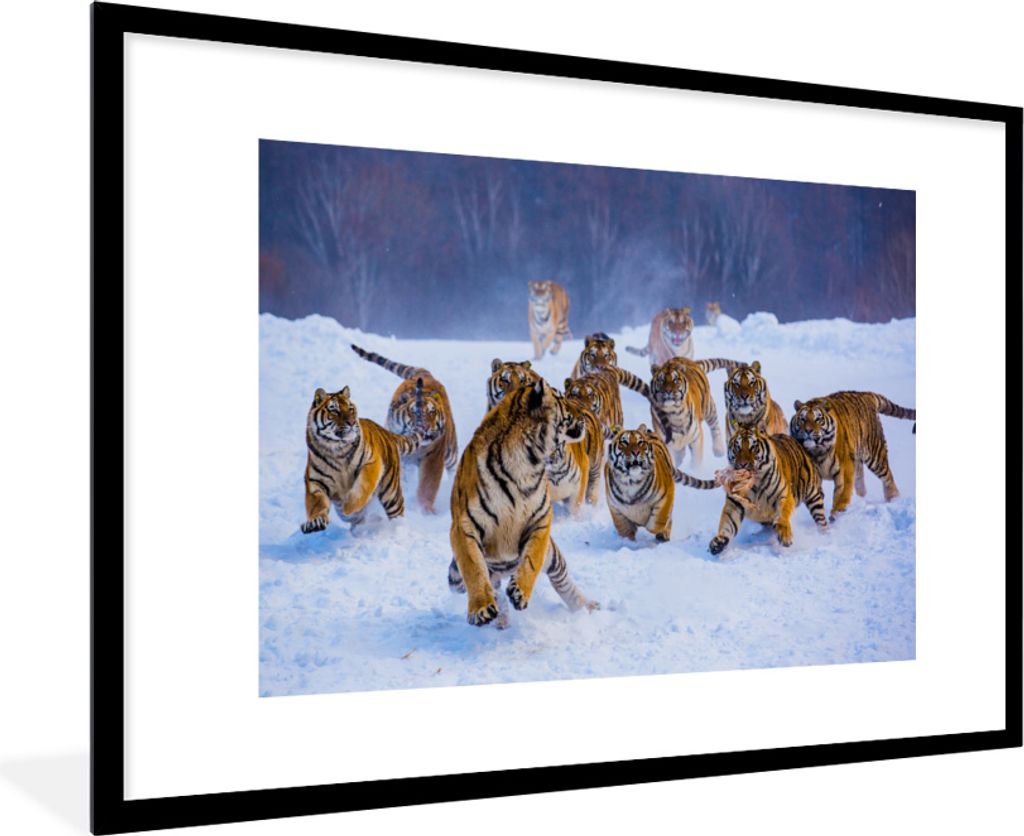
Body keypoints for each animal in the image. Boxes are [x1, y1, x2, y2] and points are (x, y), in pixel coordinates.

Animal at [302, 385, 423, 532]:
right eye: (335, 410)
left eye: (350, 409)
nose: (352, 422)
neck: (336, 448)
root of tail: (385, 431)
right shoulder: (315, 481)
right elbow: (316, 504)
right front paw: (316, 522)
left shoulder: (372, 462)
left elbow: (362, 487)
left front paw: (348, 505)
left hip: (391, 492)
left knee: (397, 512)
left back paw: (397, 527)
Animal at [350, 344, 458, 514]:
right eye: (413, 412)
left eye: (432, 411)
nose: (425, 426)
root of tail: (425, 374)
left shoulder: (433, 456)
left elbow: (427, 486)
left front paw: (425, 510)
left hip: (451, 452)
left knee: (453, 468)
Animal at [448, 379, 598, 627]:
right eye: (561, 398)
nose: (583, 414)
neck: (528, 461)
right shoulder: (464, 526)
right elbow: (473, 568)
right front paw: (480, 609)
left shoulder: (541, 520)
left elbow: (532, 559)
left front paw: (520, 592)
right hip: (488, 571)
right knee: (490, 586)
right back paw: (501, 620)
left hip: (553, 557)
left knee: (562, 578)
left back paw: (586, 607)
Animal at [708, 426, 827, 555]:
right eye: (737, 448)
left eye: (753, 448)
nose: (743, 464)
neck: (755, 482)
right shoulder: (736, 502)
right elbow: (728, 523)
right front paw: (718, 542)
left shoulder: (783, 494)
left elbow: (782, 514)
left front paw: (784, 535)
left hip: (813, 495)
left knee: (821, 519)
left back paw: (823, 535)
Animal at [789, 391, 916, 520]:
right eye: (802, 419)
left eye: (818, 419)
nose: (808, 430)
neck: (818, 450)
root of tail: (865, 394)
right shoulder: (814, 475)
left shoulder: (844, 470)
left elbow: (841, 494)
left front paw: (836, 515)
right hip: (857, 459)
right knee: (861, 482)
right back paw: (862, 499)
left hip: (874, 453)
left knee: (887, 476)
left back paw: (893, 498)